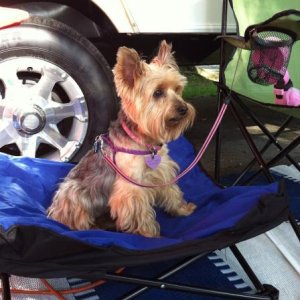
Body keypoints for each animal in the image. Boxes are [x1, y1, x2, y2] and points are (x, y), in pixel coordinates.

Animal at [47, 40, 197, 237]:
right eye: (157, 93)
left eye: (178, 90)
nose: (183, 109)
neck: (145, 142)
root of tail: (52, 212)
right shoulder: (131, 189)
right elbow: (140, 213)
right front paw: (150, 234)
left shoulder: (162, 171)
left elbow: (172, 192)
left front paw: (182, 209)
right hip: (73, 192)